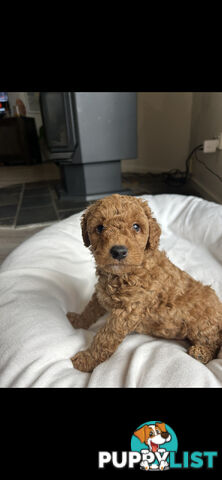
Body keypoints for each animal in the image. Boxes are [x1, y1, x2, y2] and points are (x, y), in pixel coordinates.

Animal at [67, 195, 222, 372]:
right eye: (99, 228)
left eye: (136, 226)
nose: (118, 251)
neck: (121, 275)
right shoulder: (101, 293)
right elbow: (90, 309)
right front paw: (77, 320)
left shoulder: (127, 312)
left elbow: (104, 338)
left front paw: (86, 360)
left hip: (203, 324)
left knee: (214, 342)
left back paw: (201, 353)